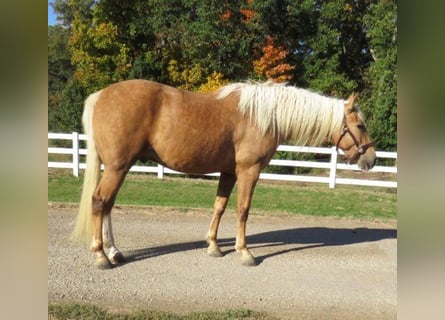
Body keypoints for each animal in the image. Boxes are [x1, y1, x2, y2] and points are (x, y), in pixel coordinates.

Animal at [73, 80, 374, 268]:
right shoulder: (249, 171)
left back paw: (114, 251)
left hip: (117, 167)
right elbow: (242, 210)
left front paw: (214, 246)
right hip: (118, 167)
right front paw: (245, 252)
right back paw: (101, 256)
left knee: (107, 205)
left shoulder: (228, 172)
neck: (263, 116)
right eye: (359, 125)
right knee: (100, 202)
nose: (371, 159)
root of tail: (101, 95)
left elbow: (219, 207)